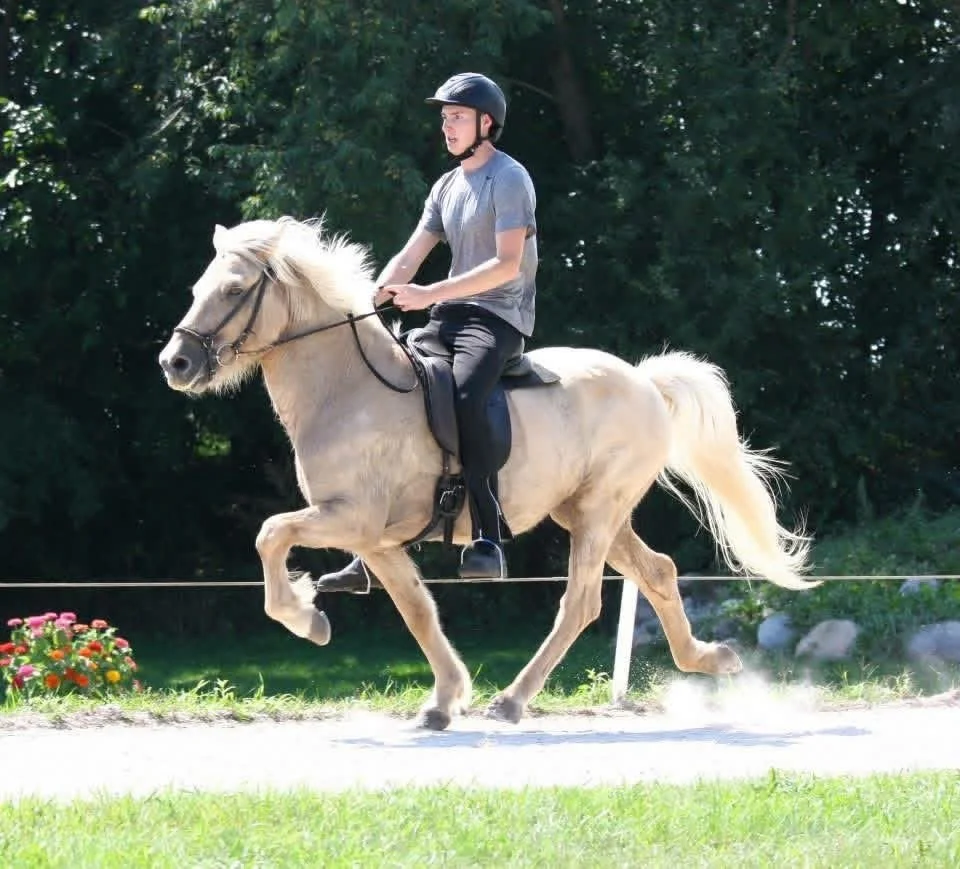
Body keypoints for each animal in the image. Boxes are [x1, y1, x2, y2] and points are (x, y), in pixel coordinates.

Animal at [158, 216, 815, 730]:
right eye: (197, 287)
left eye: (234, 289)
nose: (176, 363)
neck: (346, 392)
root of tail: (645, 381)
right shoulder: (375, 539)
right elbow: (418, 610)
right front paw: (443, 700)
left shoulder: (350, 519)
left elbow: (270, 534)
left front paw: (305, 617)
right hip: (584, 511)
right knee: (658, 572)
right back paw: (710, 659)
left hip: (599, 511)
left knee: (581, 602)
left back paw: (513, 700)